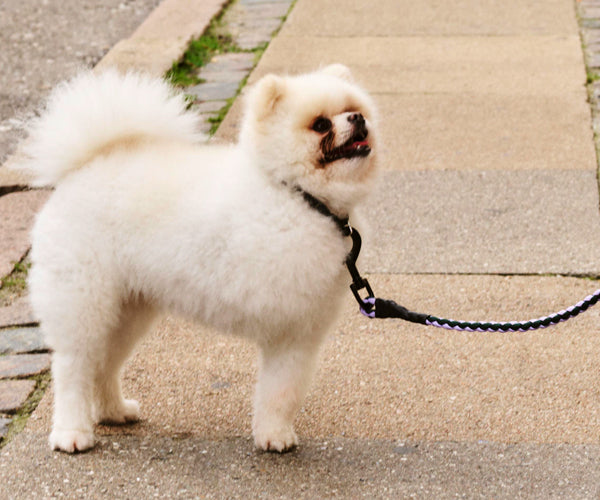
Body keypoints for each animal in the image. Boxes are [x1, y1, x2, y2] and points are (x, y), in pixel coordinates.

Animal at [24, 65, 380, 454]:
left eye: (353, 109)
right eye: (320, 124)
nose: (357, 119)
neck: (297, 196)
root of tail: (82, 169)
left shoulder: (298, 333)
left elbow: (281, 391)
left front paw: (274, 434)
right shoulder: (288, 323)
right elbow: (280, 388)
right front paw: (273, 435)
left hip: (127, 310)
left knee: (103, 364)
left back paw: (113, 411)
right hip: (83, 302)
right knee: (72, 368)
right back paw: (71, 433)